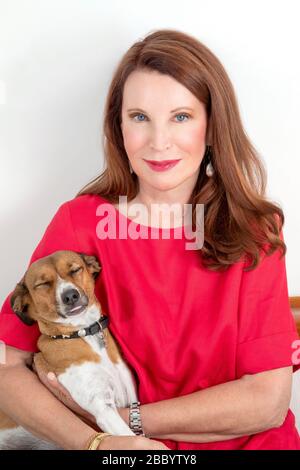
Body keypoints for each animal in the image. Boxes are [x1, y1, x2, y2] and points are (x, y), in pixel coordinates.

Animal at [0, 252, 138, 450]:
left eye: (75, 270)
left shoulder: (130, 396)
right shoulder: (103, 408)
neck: (82, 333)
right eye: (43, 284)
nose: (70, 296)